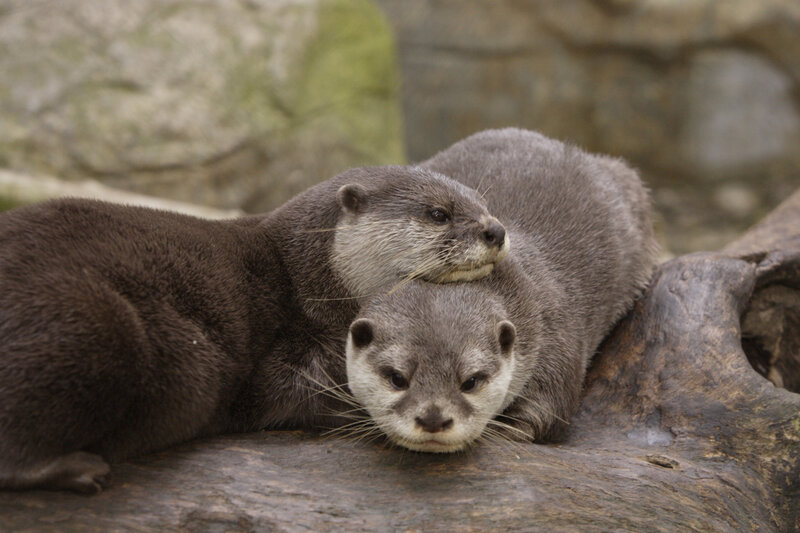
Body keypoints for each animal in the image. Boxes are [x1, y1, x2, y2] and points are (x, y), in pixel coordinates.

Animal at [0, 165, 507, 493]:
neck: (301, 277)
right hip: (100, 326)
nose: (496, 230)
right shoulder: (287, 352)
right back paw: (78, 470)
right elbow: (300, 394)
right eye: (438, 213)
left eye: (485, 205)